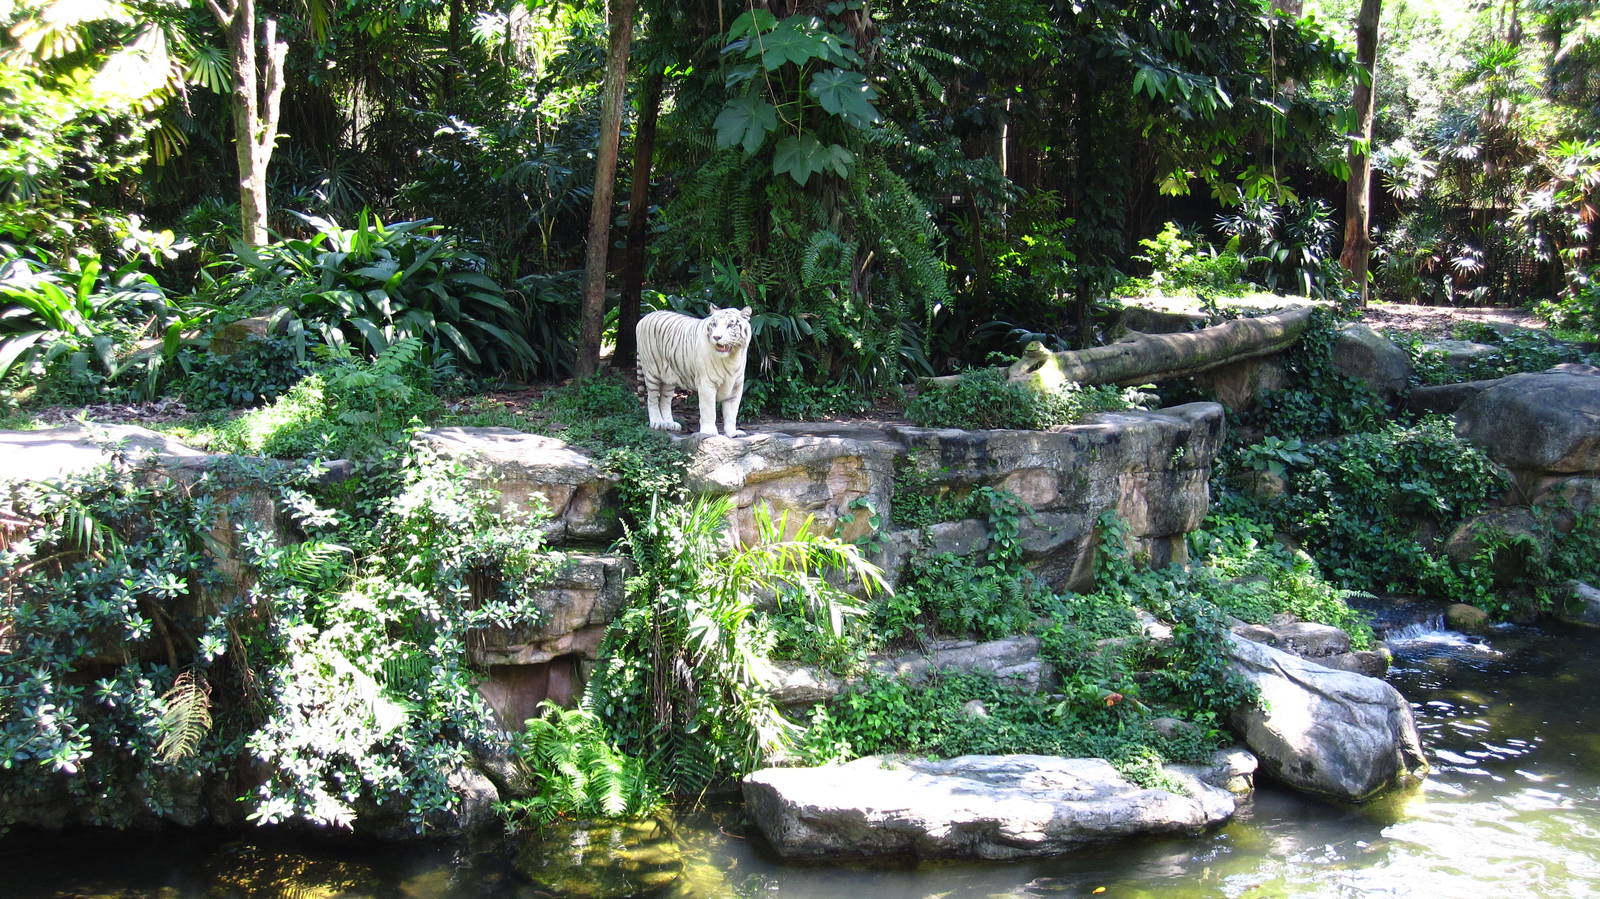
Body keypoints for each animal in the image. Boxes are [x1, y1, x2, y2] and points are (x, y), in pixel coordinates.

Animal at [636, 305, 754, 438]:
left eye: (730, 325)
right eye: (714, 324)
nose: (716, 337)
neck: (731, 358)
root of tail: (644, 318)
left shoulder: (736, 386)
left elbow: (732, 412)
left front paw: (732, 433)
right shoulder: (707, 383)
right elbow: (709, 409)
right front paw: (709, 431)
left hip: (668, 378)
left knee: (665, 400)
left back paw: (670, 424)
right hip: (652, 372)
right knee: (652, 399)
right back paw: (657, 422)